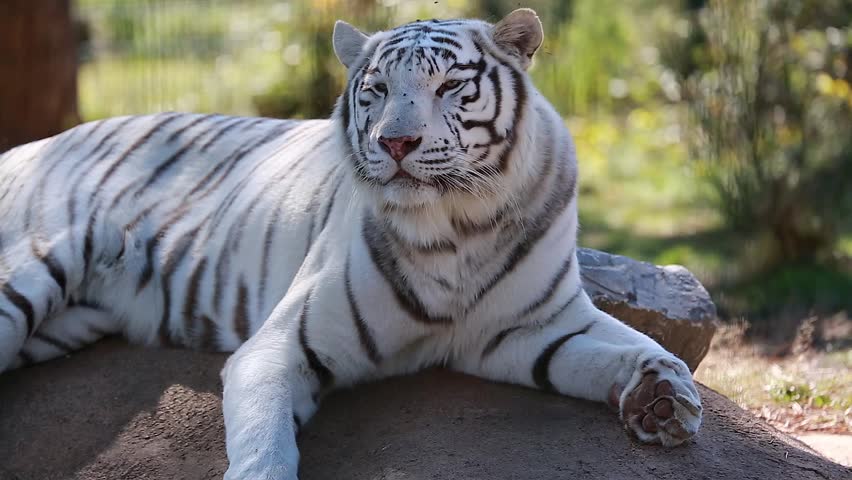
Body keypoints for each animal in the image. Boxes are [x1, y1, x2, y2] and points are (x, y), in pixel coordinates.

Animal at [0, 8, 700, 480]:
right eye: (377, 90)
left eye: (450, 86)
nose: (396, 142)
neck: (459, 226)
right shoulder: (281, 344)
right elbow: (264, 441)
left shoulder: (533, 326)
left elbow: (640, 344)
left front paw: (665, 399)